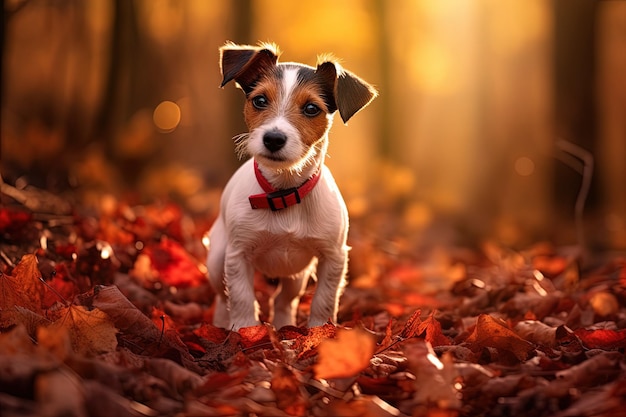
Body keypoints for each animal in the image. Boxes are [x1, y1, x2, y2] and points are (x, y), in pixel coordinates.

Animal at [208, 41, 376, 328]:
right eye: (260, 100)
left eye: (311, 108)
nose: (273, 139)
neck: (282, 193)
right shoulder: (238, 255)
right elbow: (241, 298)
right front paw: (243, 330)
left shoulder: (333, 256)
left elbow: (324, 300)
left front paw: (320, 330)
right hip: (217, 260)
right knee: (222, 297)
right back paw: (219, 326)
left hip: (297, 275)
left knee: (284, 300)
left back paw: (283, 326)